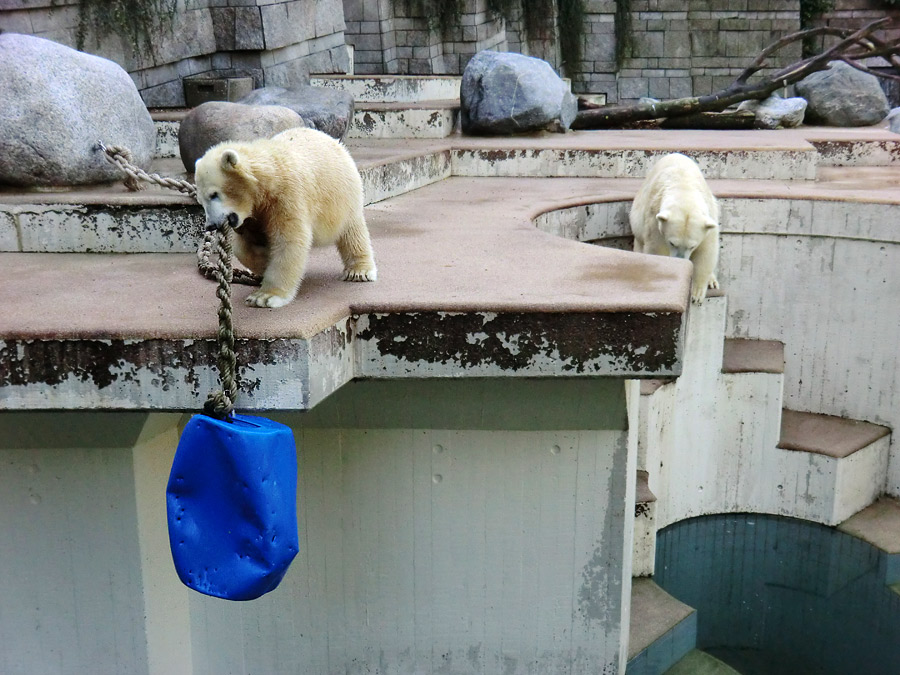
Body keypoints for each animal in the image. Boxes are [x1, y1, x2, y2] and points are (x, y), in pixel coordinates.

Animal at [195, 125, 378, 308]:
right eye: (201, 200)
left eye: (214, 194)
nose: (210, 225)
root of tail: (333, 141)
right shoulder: (252, 217)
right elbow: (244, 246)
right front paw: (263, 262)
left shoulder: (287, 197)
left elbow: (288, 241)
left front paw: (264, 297)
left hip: (343, 195)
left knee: (352, 231)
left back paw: (359, 271)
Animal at [628, 153, 720, 304]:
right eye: (672, 243)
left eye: (692, 246)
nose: (681, 259)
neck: (684, 187)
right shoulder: (654, 219)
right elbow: (656, 249)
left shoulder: (709, 217)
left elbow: (707, 250)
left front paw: (696, 294)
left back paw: (712, 281)